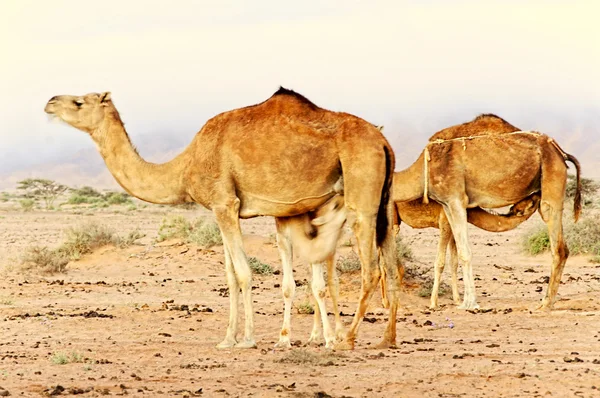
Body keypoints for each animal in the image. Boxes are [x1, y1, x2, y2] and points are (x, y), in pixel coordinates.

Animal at [44, 88, 400, 350]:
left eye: (79, 101)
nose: (50, 102)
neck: (184, 167)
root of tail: (383, 141)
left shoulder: (224, 203)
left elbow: (243, 272)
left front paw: (248, 339)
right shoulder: (222, 209)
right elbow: (229, 275)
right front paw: (227, 339)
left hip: (361, 191)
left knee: (370, 269)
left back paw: (347, 339)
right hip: (385, 202)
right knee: (390, 266)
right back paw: (386, 339)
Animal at [392, 113, 580, 310]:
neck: (424, 169)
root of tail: (561, 153)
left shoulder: (456, 200)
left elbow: (464, 253)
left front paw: (469, 303)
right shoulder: (447, 205)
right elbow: (458, 253)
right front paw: (463, 301)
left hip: (552, 181)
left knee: (558, 246)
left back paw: (546, 303)